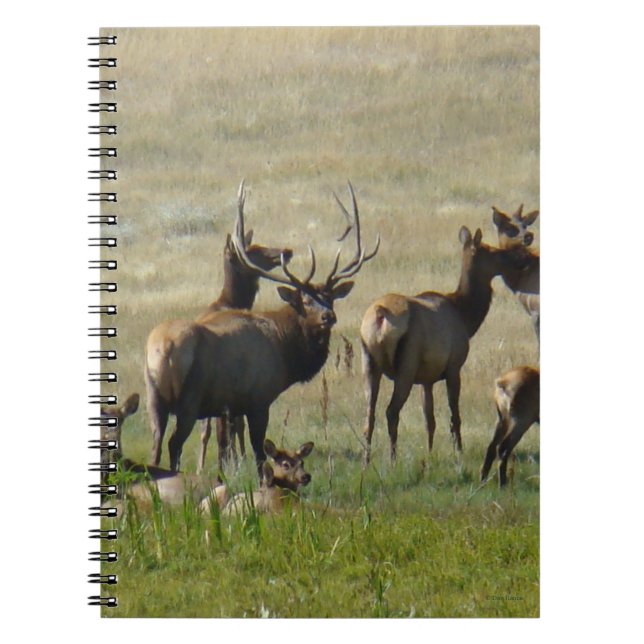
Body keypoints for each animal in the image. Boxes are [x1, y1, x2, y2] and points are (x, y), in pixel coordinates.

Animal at [194, 225, 293, 472]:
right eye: (253, 250)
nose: (285, 251)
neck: (231, 301)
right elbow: (237, 424)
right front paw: (240, 458)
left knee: (206, 428)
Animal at [360, 226, 529, 463]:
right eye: (492, 250)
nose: (521, 258)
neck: (466, 316)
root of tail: (379, 316)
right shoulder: (453, 366)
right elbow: (454, 416)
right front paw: (459, 453)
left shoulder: (426, 378)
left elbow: (429, 420)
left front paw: (429, 455)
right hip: (406, 365)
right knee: (391, 411)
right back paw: (392, 460)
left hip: (368, 361)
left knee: (369, 415)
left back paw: (366, 462)